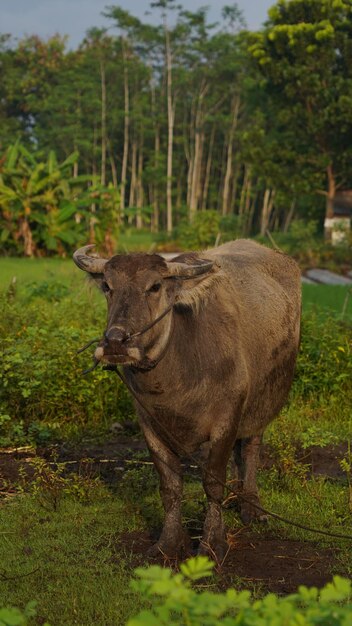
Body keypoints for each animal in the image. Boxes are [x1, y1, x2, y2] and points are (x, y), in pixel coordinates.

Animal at [73, 239, 302, 556]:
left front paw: (212, 542)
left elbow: (212, 482)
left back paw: (251, 506)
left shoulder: (226, 419)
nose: (116, 342)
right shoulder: (150, 424)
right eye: (108, 286)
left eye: (155, 286)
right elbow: (170, 487)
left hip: (262, 402)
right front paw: (168, 543)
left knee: (251, 447)